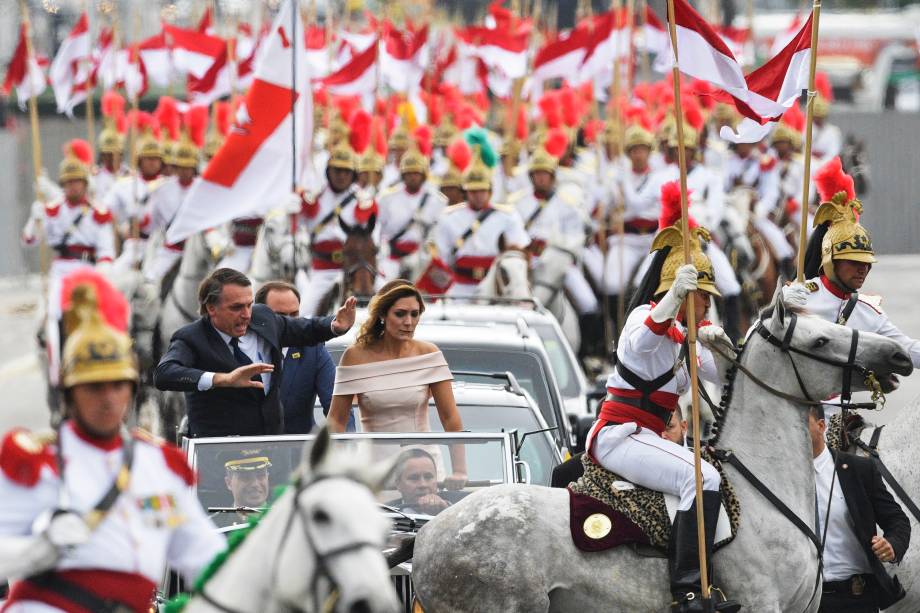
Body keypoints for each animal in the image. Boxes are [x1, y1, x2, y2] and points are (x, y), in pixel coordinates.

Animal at [412, 290, 912, 612]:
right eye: (821, 340)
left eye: (832, 325)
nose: (898, 356)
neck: (763, 493)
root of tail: (427, 533)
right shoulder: (763, 605)